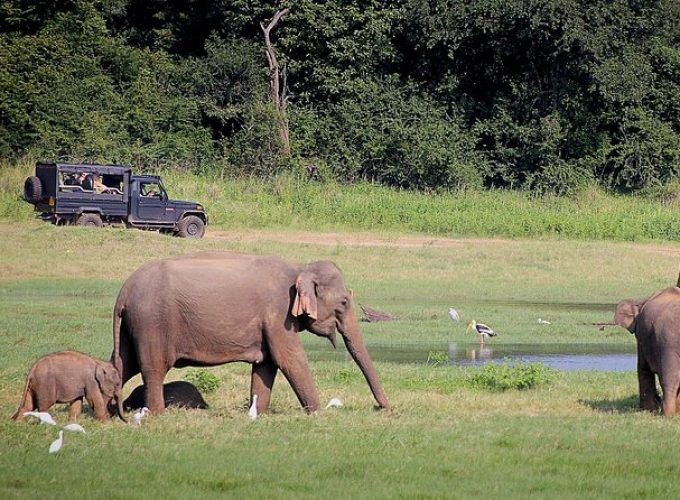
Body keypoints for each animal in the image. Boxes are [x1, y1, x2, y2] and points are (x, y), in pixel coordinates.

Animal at [110, 252, 388, 416]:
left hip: (132, 327)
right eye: (344, 302)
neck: (299, 268)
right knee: (153, 368)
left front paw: (258, 413)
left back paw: (111, 412)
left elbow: (266, 364)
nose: (382, 407)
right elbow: (289, 359)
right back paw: (156, 414)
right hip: (152, 324)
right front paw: (317, 413)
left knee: (122, 364)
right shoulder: (278, 314)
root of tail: (124, 291)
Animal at [612, 288, 680, 416]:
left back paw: (668, 413)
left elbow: (642, 368)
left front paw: (647, 410)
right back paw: (670, 413)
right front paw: (649, 410)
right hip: (668, 343)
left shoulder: (640, 334)